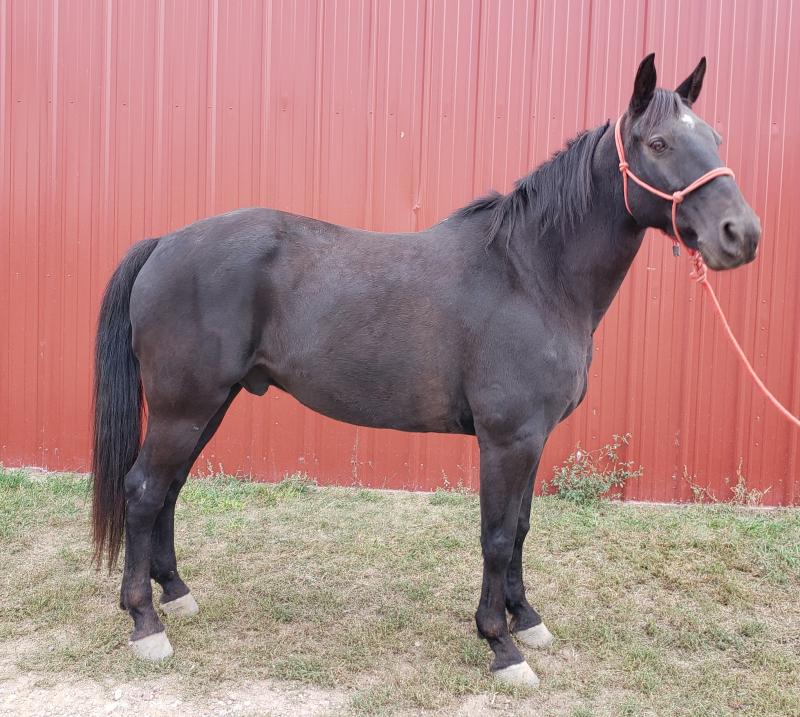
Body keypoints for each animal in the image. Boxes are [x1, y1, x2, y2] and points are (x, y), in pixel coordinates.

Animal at [91, 54, 760, 686]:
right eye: (659, 143)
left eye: (717, 136)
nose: (742, 234)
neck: (531, 276)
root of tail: (166, 242)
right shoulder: (506, 440)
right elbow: (496, 536)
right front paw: (501, 644)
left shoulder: (534, 439)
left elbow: (521, 527)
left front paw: (527, 619)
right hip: (184, 407)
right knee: (143, 491)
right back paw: (146, 623)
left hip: (210, 404)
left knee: (169, 490)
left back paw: (177, 596)